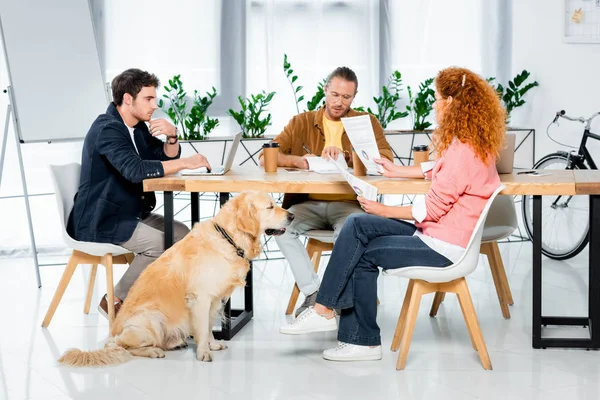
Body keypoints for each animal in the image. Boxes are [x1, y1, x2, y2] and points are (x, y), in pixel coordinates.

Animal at [58, 191, 292, 366]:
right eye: (270, 207)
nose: (291, 216)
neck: (229, 238)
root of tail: (111, 336)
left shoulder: (214, 299)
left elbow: (208, 326)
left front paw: (212, 344)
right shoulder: (200, 298)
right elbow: (202, 327)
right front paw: (203, 352)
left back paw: (175, 343)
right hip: (150, 319)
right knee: (126, 347)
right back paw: (153, 351)